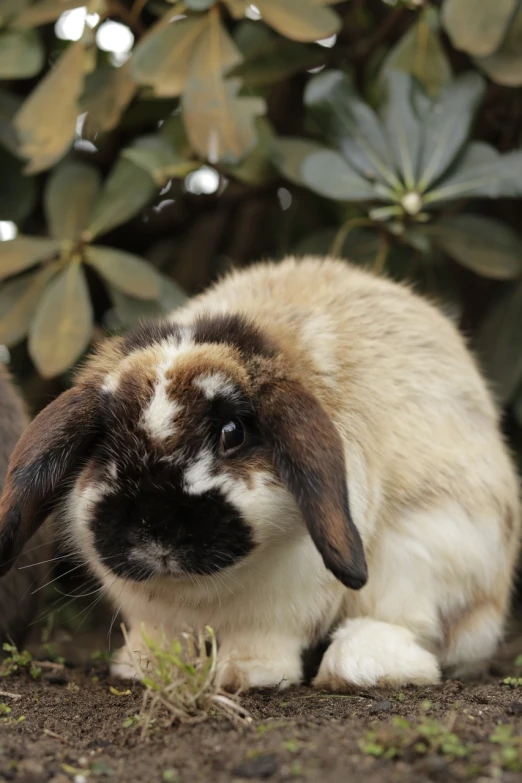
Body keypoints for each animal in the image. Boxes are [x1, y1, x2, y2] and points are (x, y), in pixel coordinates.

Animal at [0, 258, 516, 692]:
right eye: (103, 441)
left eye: (233, 432)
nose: (155, 529)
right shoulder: (153, 616)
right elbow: (160, 638)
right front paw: (148, 672)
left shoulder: (279, 609)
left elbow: (261, 640)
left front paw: (245, 676)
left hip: (429, 554)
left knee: (413, 628)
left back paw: (359, 665)